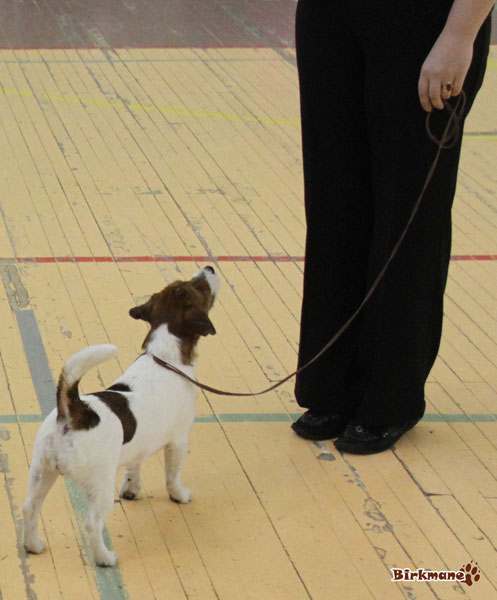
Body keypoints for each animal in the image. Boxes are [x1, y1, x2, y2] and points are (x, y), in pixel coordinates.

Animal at [22, 266, 219, 566]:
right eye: (200, 287)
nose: (209, 269)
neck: (164, 357)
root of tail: (73, 412)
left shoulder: (139, 448)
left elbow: (134, 467)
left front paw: (131, 490)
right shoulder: (178, 440)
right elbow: (173, 475)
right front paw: (179, 495)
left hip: (42, 472)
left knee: (29, 508)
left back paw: (33, 545)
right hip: (99, 487)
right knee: (92, 523)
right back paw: (105, 558)